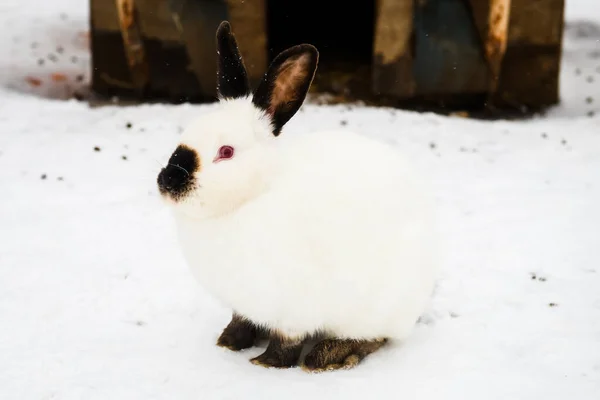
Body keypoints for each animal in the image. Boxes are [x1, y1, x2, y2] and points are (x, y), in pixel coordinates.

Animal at [158, 21, 440, 372]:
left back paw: (329, 356)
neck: (254, 194)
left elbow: (287, 343)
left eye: (226, 152)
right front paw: (228, 342)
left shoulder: (293, 308)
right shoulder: (243, 303)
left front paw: (265, 362)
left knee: (376, 338)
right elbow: (241, 321)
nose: (167, 181)